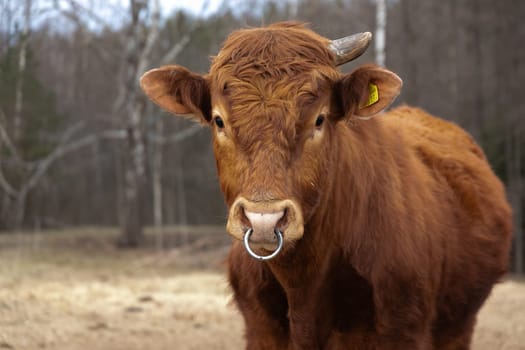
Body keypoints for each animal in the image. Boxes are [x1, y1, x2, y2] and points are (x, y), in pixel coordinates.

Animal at [140, 22, 512, 350]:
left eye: (319, 119)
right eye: (219, 120)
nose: (264, 220)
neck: (304, 285)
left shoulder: (403, 329)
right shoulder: (261, 331)